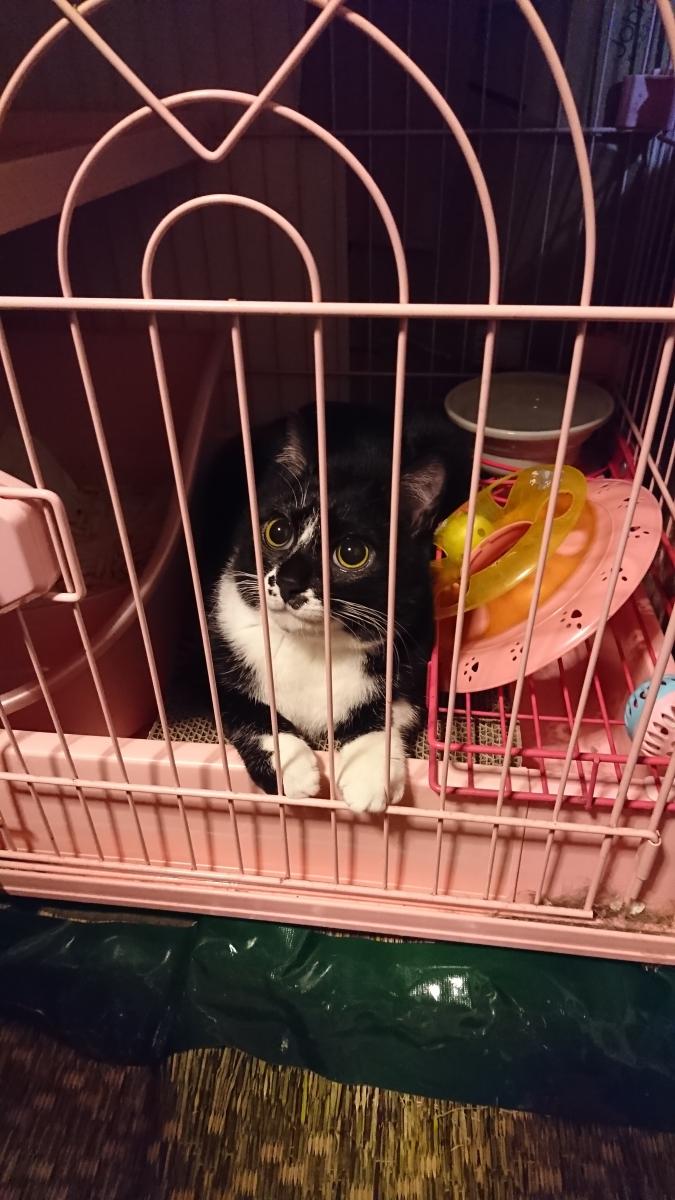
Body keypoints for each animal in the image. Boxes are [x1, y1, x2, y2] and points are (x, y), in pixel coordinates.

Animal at [196, 401, 469, 813]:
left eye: (352, 553)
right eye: (277, 531)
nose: (289, 582)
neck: (310, 648)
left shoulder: (413, 647)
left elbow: (390, 708)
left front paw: (368, 775)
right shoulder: (217, 648)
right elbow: (242, 706)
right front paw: (291, 768)